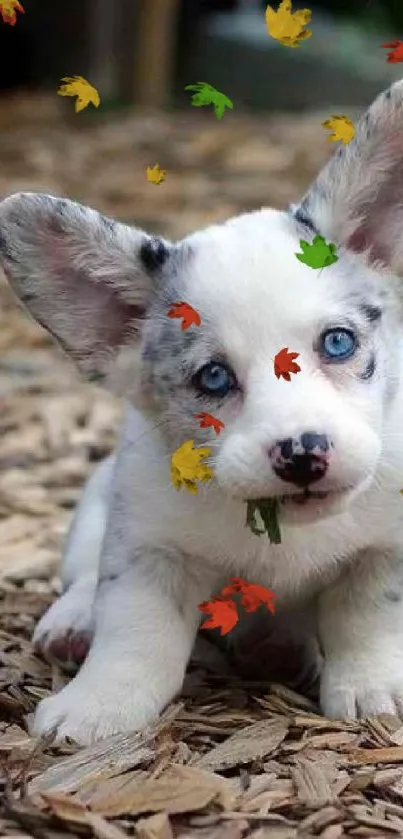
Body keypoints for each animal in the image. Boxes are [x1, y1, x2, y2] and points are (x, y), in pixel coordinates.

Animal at [0, 80, 403, 748]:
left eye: (339, 343)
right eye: (213, 377)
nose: (303, 453)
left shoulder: (385, 551)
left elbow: (369, 619)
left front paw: (377, 692)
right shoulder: (148, 552)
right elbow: (134, 638)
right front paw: (95, 708)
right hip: (93, 508)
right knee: (85, 579)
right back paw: (74, 623)